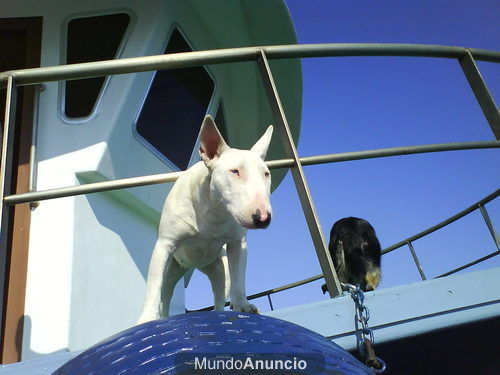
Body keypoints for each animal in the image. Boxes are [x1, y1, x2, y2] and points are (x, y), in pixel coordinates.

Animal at [138, 116, 274, 324]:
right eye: (235, 171)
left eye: (266, 174)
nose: (263, 218)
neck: (214, 211)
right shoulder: (164, 245)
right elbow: (153, 288)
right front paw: (146, 319)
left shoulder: (238, 244)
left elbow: (239, 278)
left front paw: (243, 305)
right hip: (171, 268)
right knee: (165, 293)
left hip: (219, 269)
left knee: (219, 294)